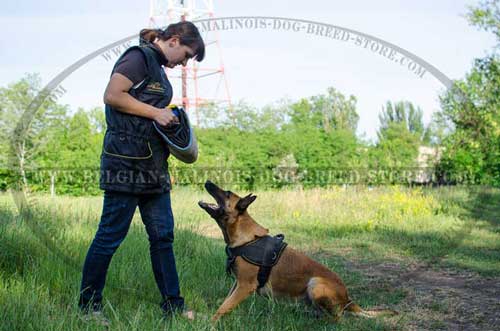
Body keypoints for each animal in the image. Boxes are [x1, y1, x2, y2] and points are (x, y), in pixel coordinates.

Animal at [197, 182, 396, 324]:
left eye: (227, 193)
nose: (207, 182)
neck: (246, 239)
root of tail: (348, 299)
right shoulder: (237, 284)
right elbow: (225, 301)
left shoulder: (245, 285)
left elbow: (224, 307)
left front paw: (210, 324)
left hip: (315, 284)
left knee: (338, 318)